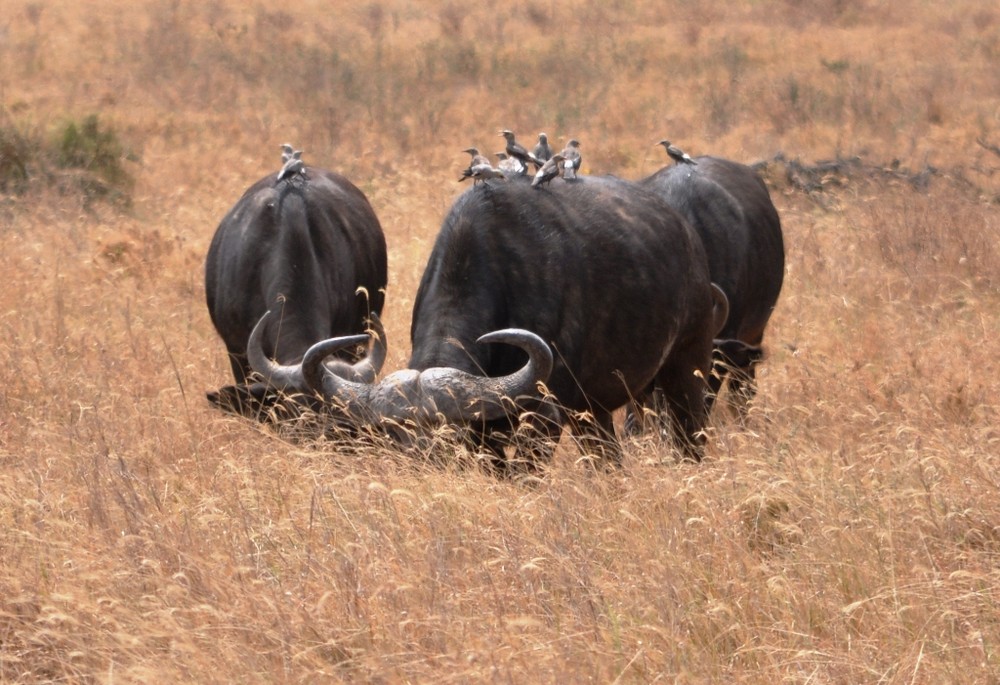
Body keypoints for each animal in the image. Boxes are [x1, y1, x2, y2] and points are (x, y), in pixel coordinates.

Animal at [250, 175, 728, 470]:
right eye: (395, 436)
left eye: (448, 435)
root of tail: (687, 237)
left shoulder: (542, 419)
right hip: (593, 408)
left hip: (687, 369)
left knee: (691, 435)